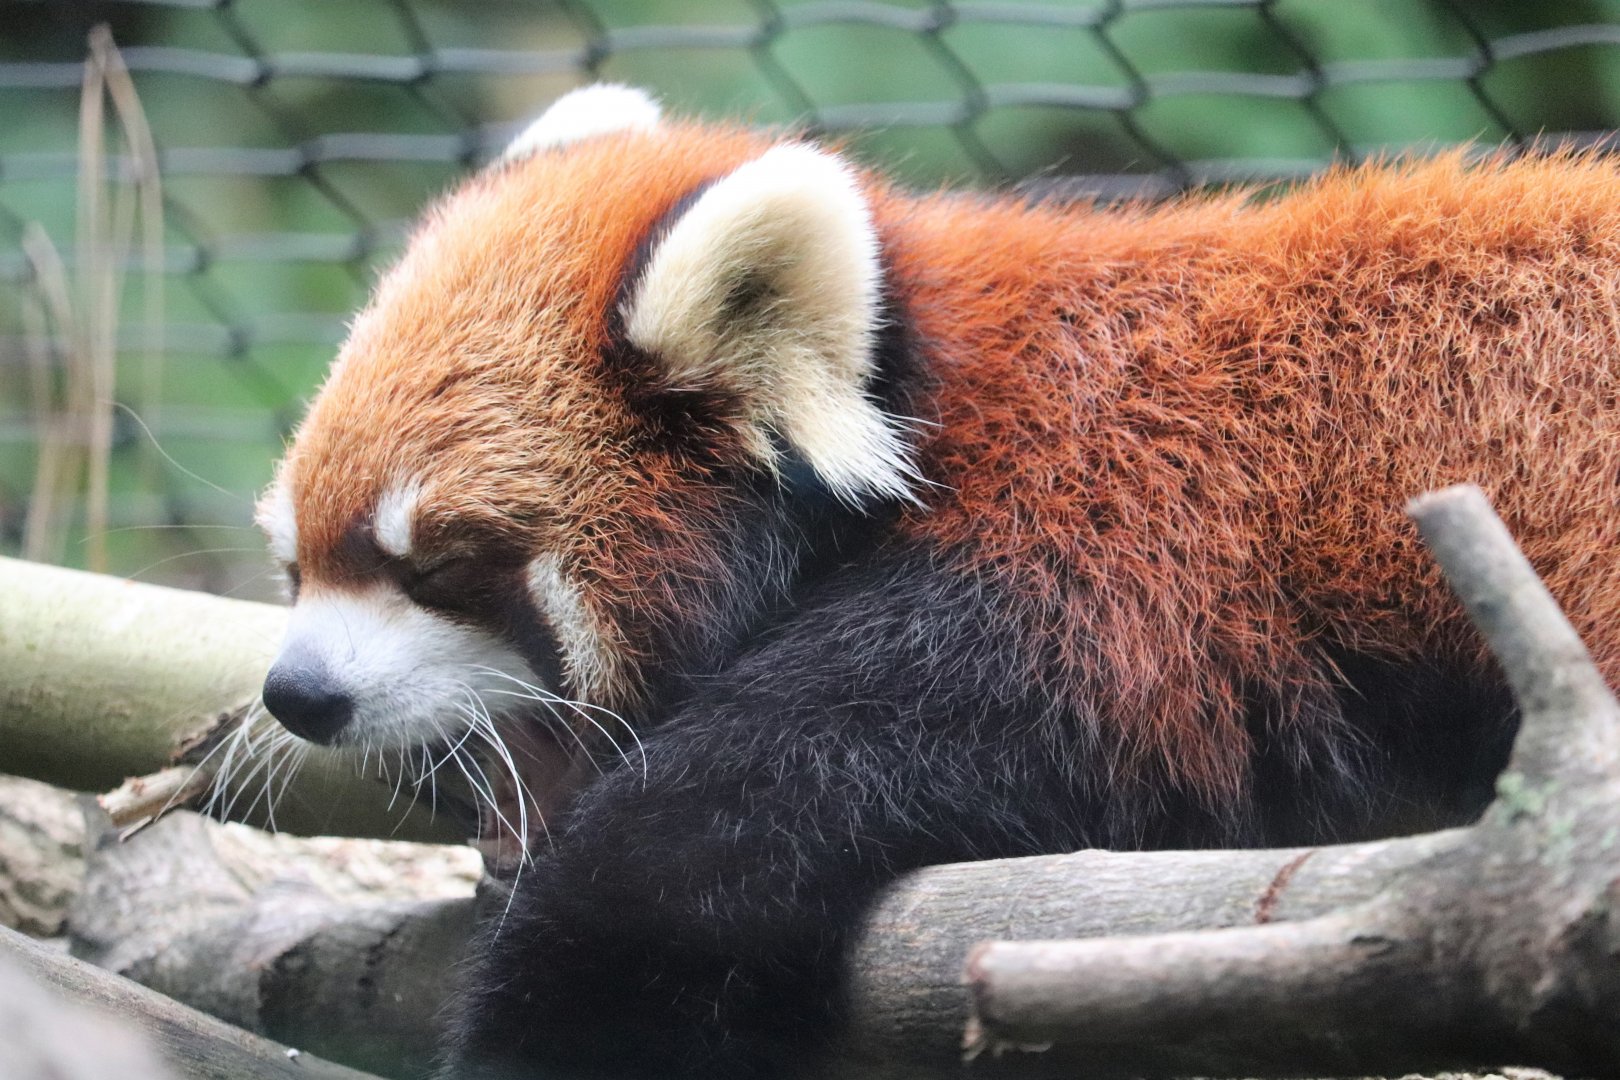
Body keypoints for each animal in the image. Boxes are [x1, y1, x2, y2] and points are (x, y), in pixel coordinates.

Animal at [254, 84, 1620, 1078]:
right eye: (291, 561)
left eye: (439, 564)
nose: (296, 695)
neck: (937, 420)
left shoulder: (1101, 569)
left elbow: (712, 835)